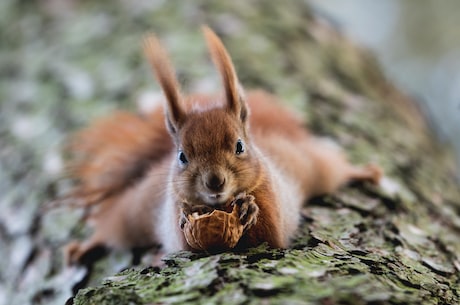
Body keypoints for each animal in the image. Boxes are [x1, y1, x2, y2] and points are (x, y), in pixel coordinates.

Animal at [64, 26, 380, 264]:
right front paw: (187, 217)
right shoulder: (173, 210)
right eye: (182, 156)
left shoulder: (272, 198)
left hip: (312, 165)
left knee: (334, 168)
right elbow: (187, 240)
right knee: (112, 227)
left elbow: (272, 231)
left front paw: (249, 208)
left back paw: (365, 172)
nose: (215, 182)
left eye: (240, 146)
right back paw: (83, 247)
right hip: (135, 210)